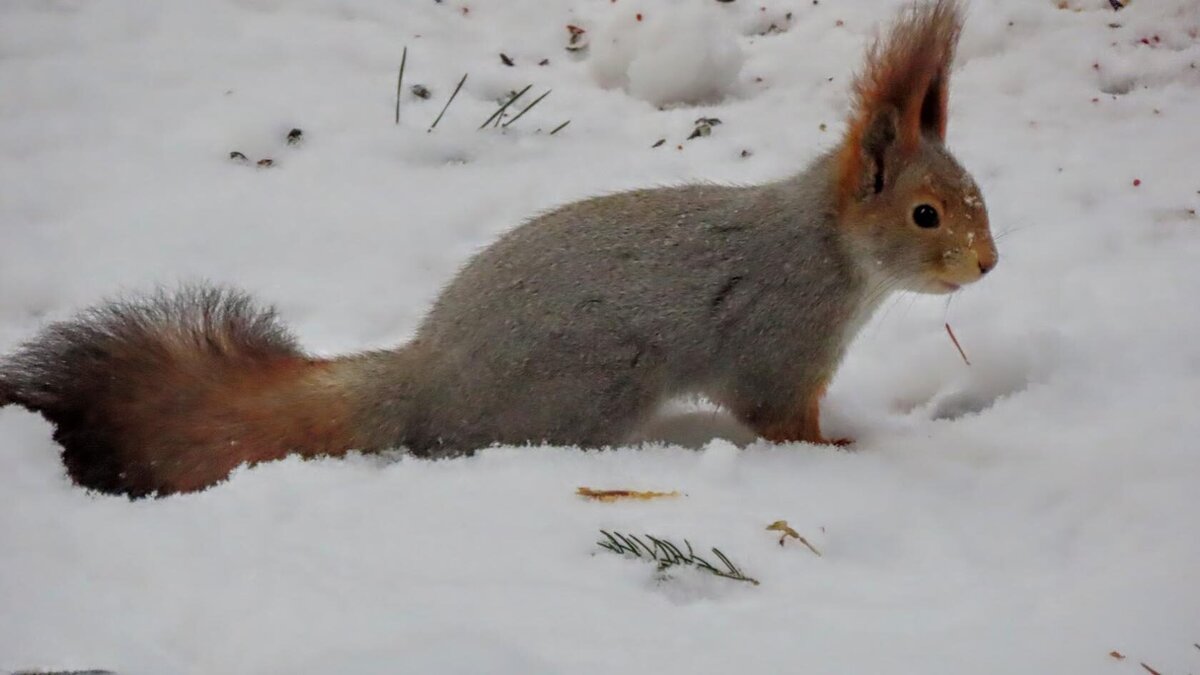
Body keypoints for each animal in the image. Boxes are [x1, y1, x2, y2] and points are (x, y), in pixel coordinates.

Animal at [0, 0, 993, 494]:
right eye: (926, 216)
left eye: (975, 195)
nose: (987, 266)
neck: (835, 254)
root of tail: (427, 376)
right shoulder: (779, 340)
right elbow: (779, 414)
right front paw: (840, 453)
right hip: (590, 386)